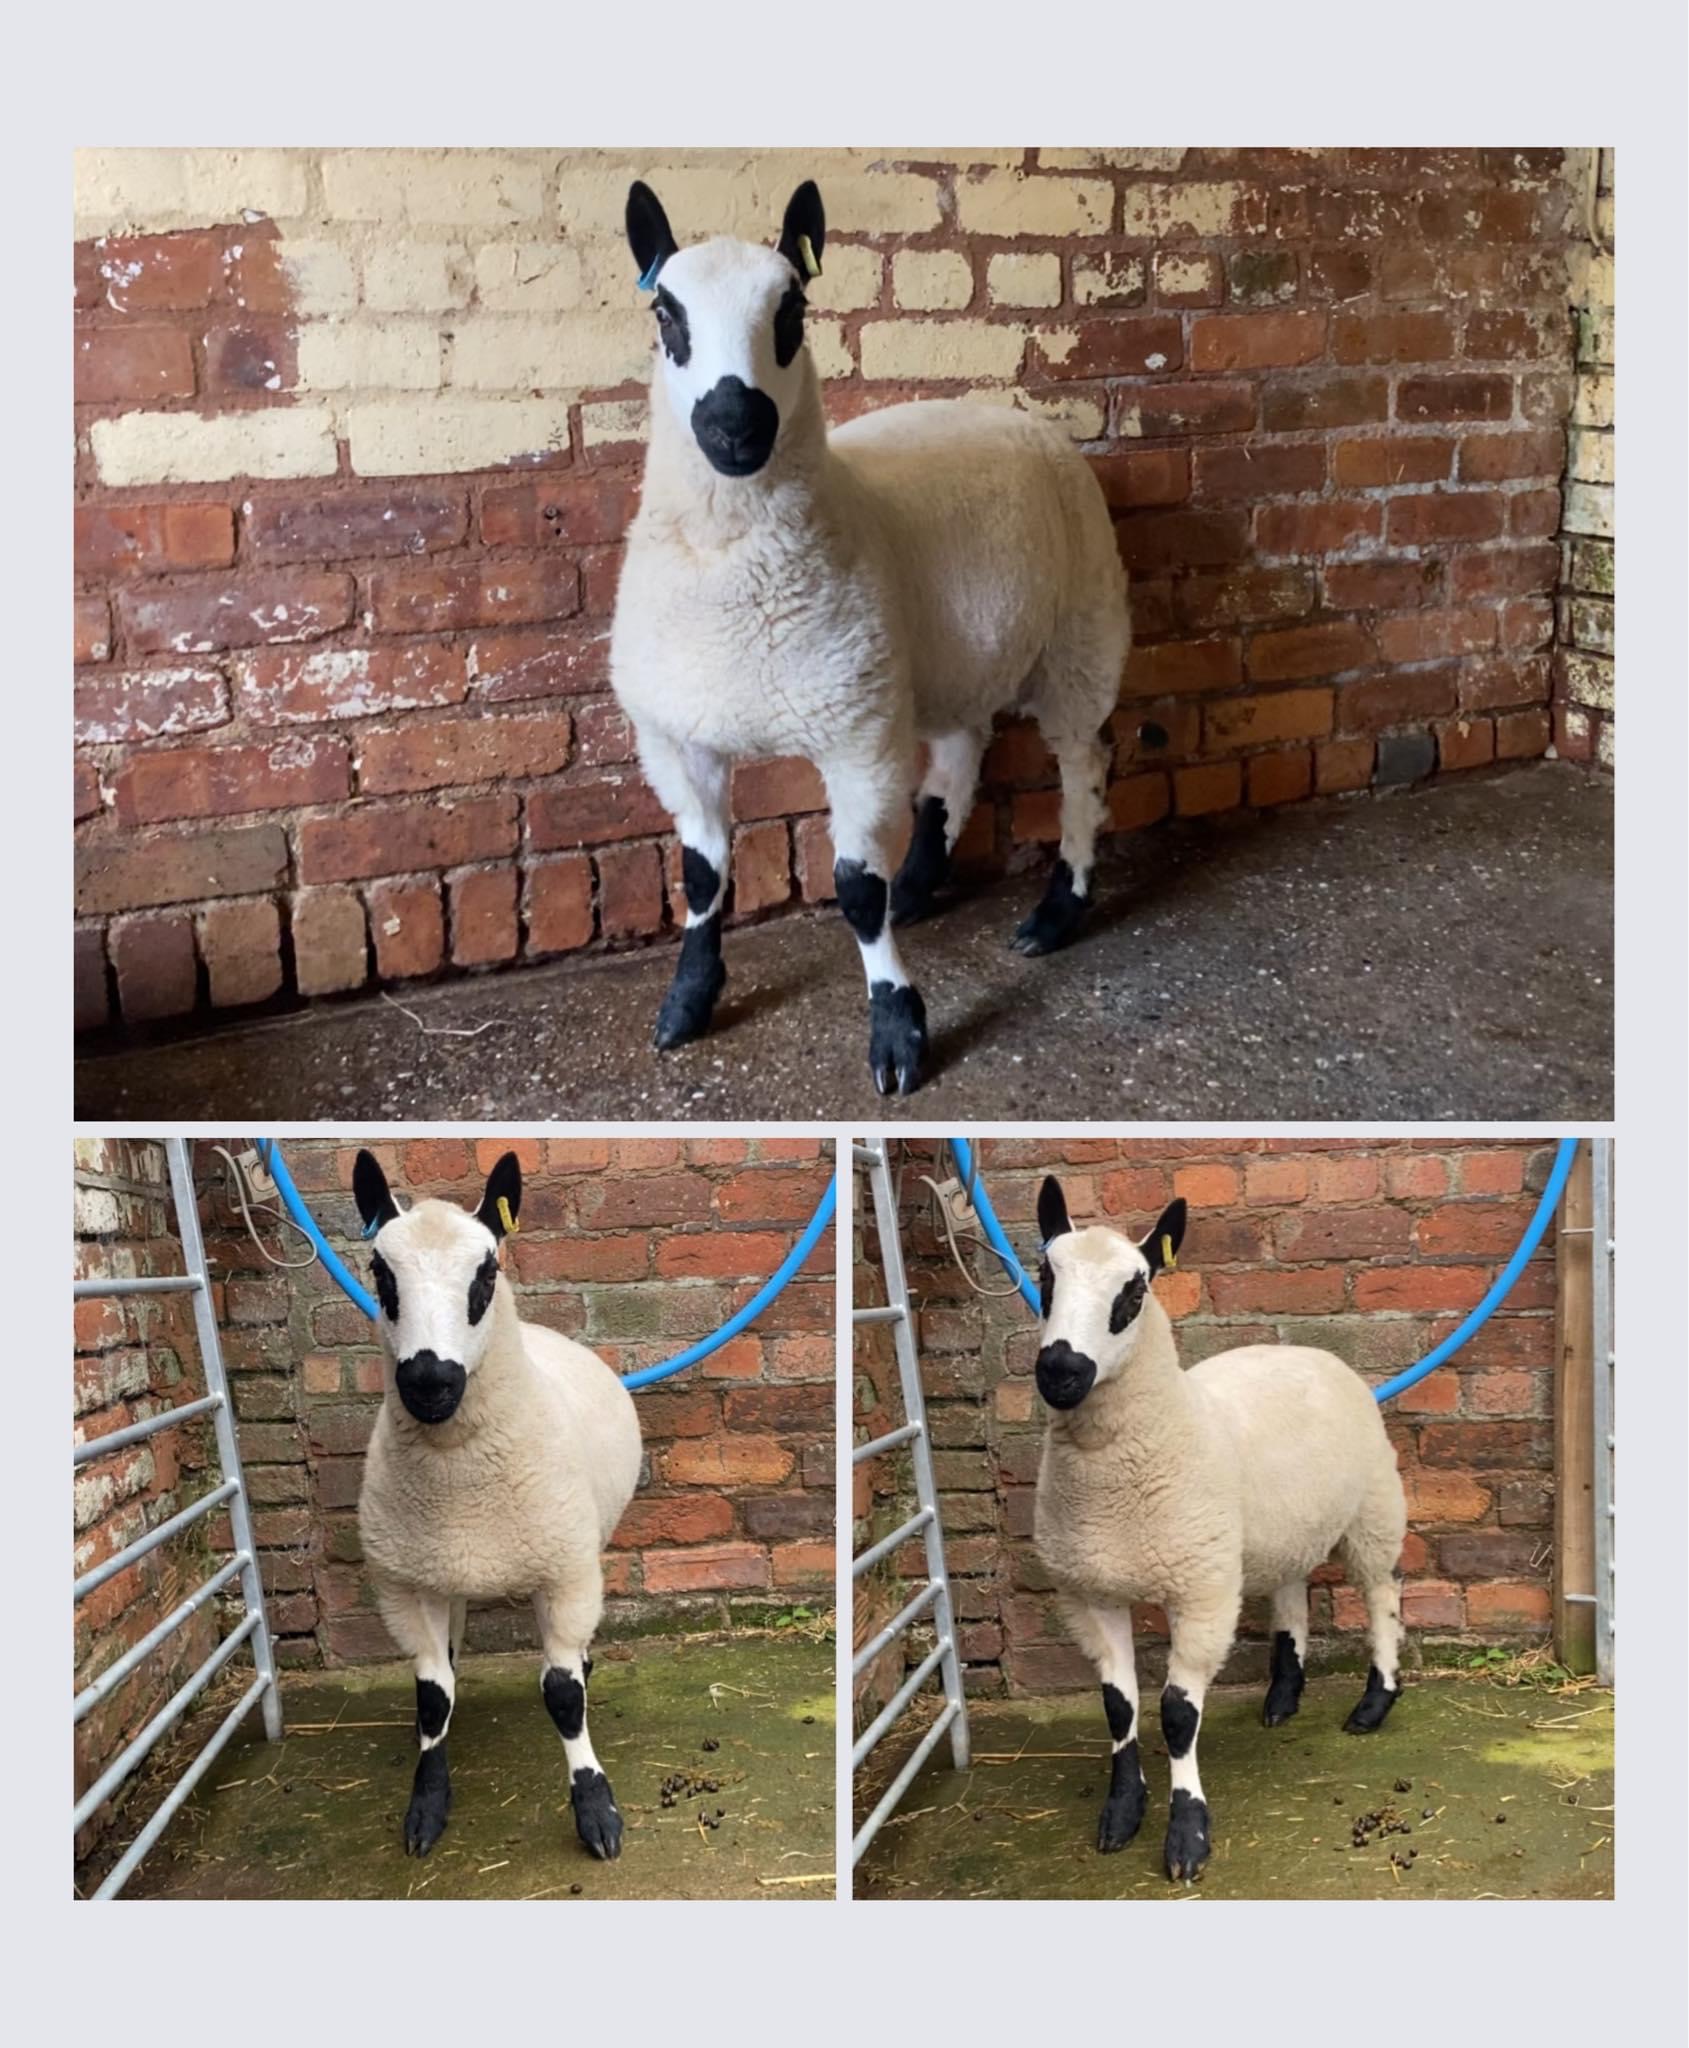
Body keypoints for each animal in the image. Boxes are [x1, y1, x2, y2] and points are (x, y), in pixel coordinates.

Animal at [352, 1149, 642, 1861]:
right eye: (379, 1272)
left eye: (487, 1273)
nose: (428, 1381)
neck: (460, 1473)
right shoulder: (405, 1584)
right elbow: (432, 1696)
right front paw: (427, 1805)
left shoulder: (563, 1572)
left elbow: (562, 1696)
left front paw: (596, 1810)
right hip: (443, 1567)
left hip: (580, 1548)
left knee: (571, 1657)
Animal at [609, 176, 1131, 1096]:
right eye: (666, 313)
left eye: (793, 309)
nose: (736, 425)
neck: (729, 566)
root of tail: (1012, 413)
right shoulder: (677, 739)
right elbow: (702, 876)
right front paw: (685, 1005)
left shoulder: (853, 736)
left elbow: (853, 889)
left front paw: (896, 1032)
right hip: (947, 655)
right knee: (961, 750)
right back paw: (919, 885)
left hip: (1079, 634)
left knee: (1083, 762)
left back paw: (1055, 911)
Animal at [1030, 1177, 1408, 1882]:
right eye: (1044, 1274)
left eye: (1135, 1289)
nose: (1060, 1371)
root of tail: (1305, 1349)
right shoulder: (1090, 1591)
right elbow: (1118, 1705)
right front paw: (1122, 1813)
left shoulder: (1200, 1590)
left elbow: (1177, 1715)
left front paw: (1187, 1835)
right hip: (1283, 1523)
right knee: (1291, 1592)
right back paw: (1283, 1697)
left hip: (1373, 1506)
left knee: (1382, 1594)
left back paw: (1375, 1703)